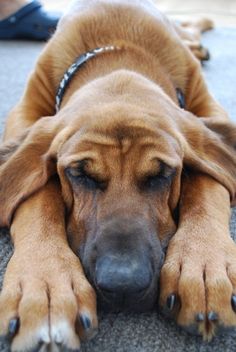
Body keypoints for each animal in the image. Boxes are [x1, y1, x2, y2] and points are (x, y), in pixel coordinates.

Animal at [0, 0, 236, 352]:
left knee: (191, 28)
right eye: (79, 174)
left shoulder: (209, 109)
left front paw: (205, 266)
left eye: (162, 174)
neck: (120, 46)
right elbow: (36, 197)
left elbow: (209, 183)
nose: (123, 286)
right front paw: (44, 286)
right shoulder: (24, 116)